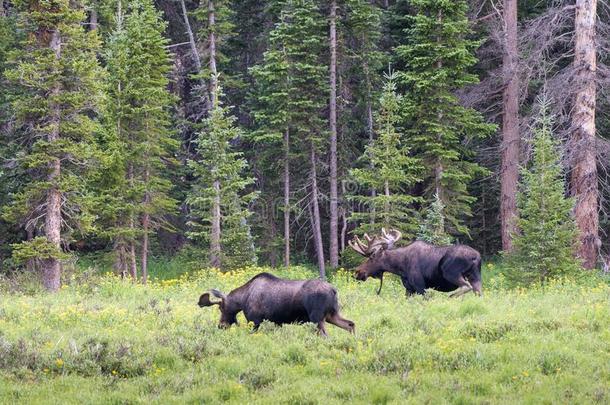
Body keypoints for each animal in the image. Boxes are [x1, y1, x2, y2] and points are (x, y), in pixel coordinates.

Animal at [197, 272, 354, 334]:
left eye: (221, 308)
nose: (221, 325)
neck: (242, 300)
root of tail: (334, 290)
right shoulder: (277, 322)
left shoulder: (254, 320)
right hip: (331, 314)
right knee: (350, 324)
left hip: (317, 318)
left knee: (325, 335)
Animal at [346, 227, 480, 296]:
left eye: (371, 257)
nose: (358, 272)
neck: (400, 267)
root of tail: (476, 257)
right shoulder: (409, 289)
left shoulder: (420, 286)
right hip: (476, 277)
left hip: (451, 274)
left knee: (466, 286)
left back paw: (452, 296)